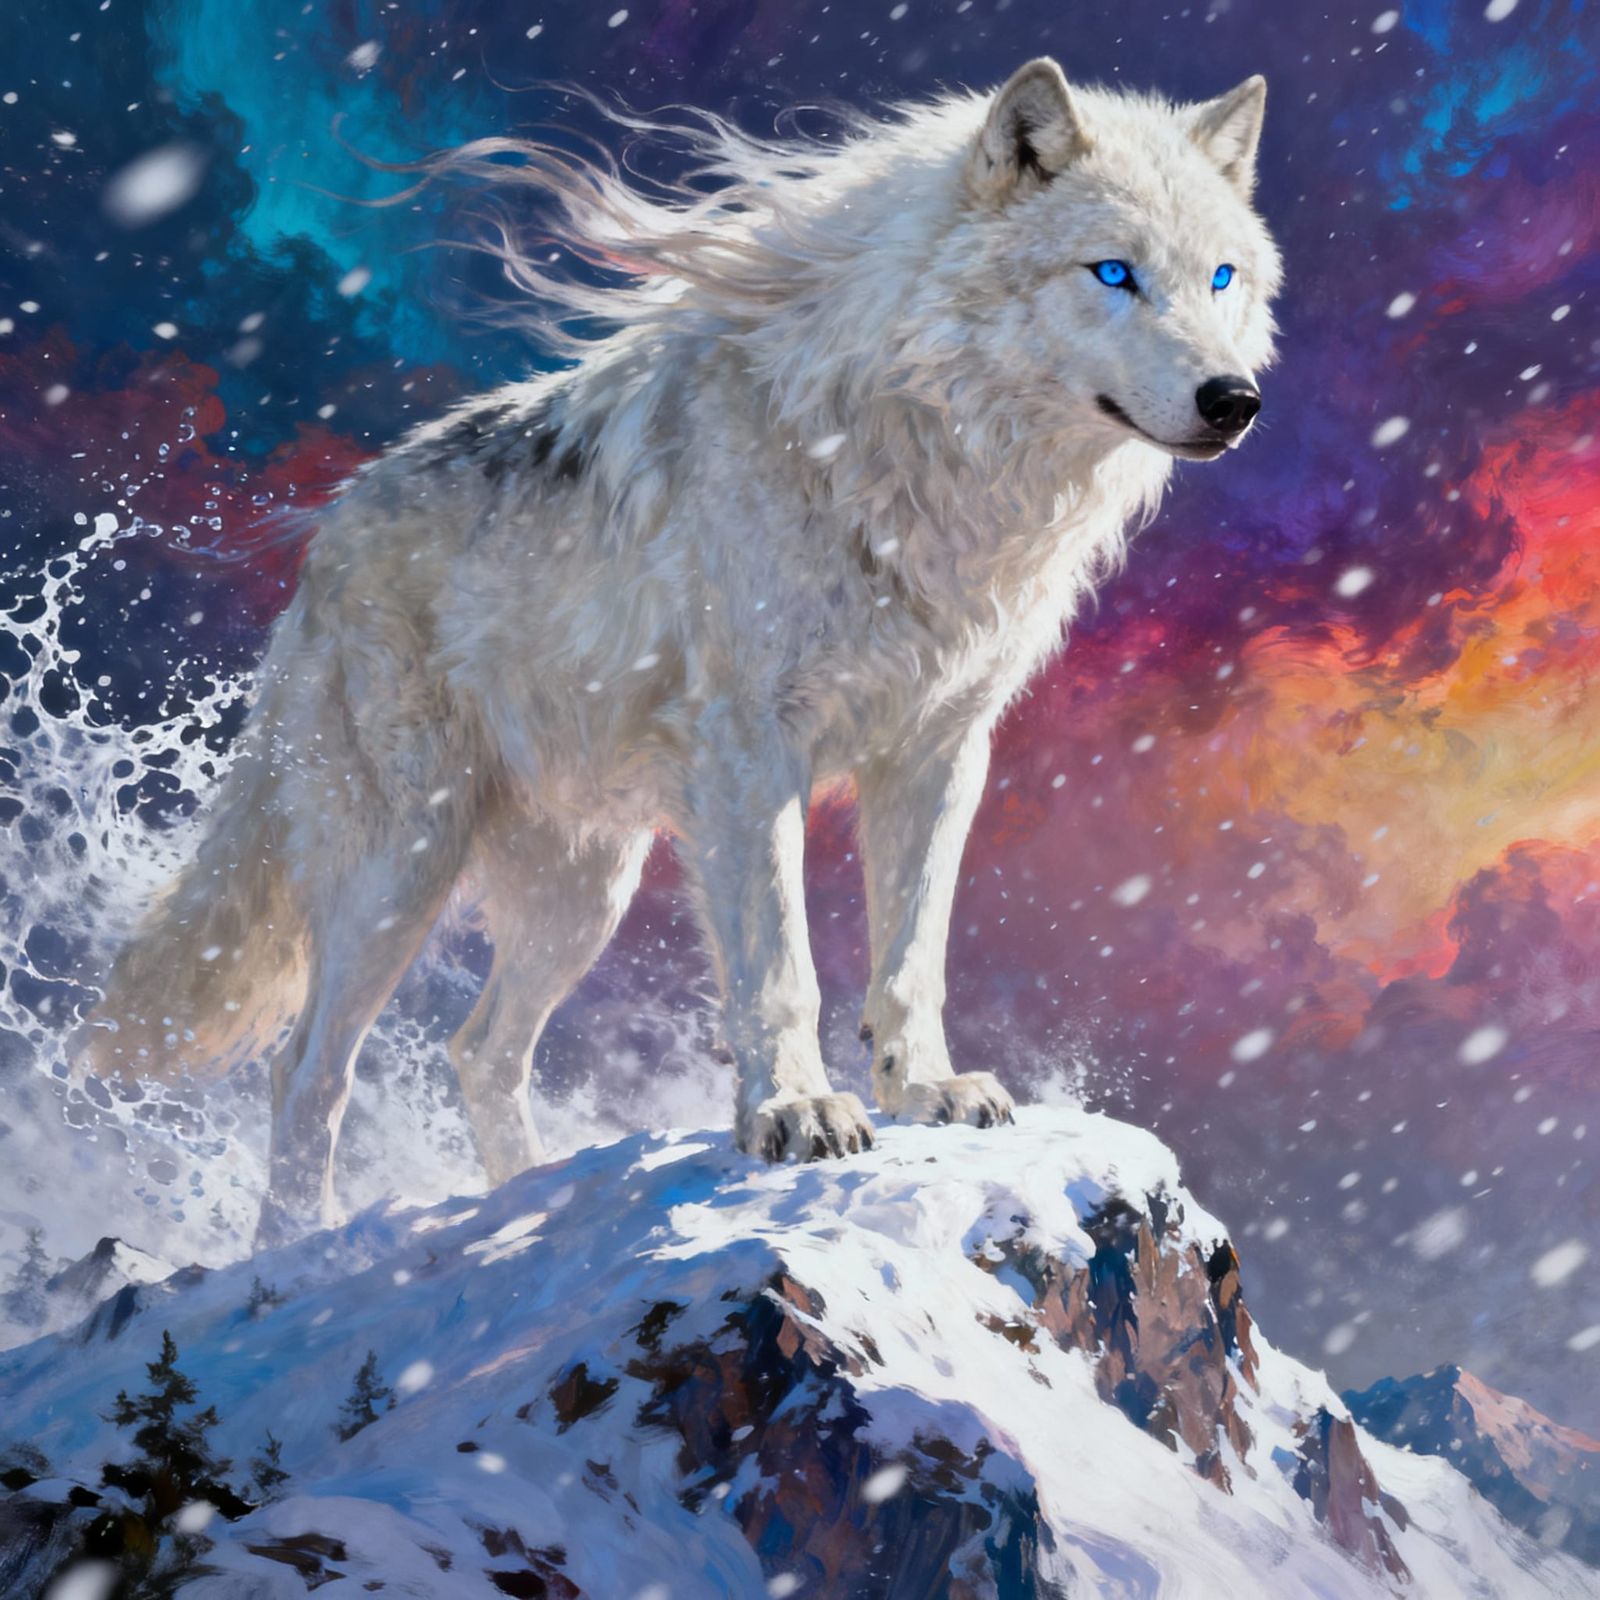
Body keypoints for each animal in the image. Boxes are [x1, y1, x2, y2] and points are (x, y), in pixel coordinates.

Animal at [78, 59, 1281, 1244]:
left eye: (1221, 276)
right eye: (1114, 272)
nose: (1235, 401)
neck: (914, 464)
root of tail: (324, 544)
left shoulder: (940, 750)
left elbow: (912, 954)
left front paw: (924, 1091)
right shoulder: (751, 750)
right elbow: (782, 965)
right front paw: (797, 1112)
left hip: (584, 891)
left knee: (480, 1048)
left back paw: (526, 1203)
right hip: (401, 868)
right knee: (305, 1071)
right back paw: (302, 1251)